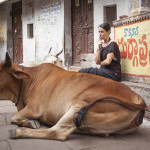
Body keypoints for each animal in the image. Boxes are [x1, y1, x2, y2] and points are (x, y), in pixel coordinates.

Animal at [0, 52, 146, 140]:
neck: (29, 81)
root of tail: (138, 98)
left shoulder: (33, 109)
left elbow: (14, 117)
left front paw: (29, 122)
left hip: (78, 107)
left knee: (57, 132)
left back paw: (18, 132)